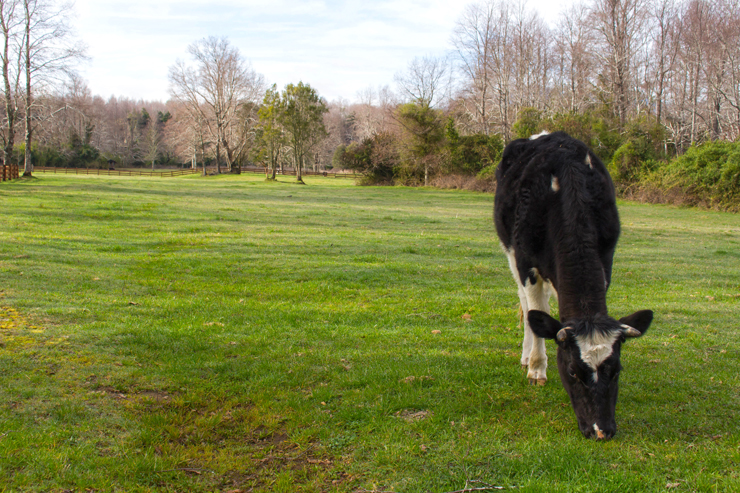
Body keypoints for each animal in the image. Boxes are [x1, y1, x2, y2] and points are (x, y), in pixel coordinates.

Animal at [494, 131, 652, 438]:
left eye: (616, 370)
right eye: (572, 372)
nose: (601, 430)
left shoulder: (606, 259)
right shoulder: (526, 262)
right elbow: (536, 314)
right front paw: (537, 370)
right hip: (510, 252)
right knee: (527, 305)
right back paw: (527, 356)